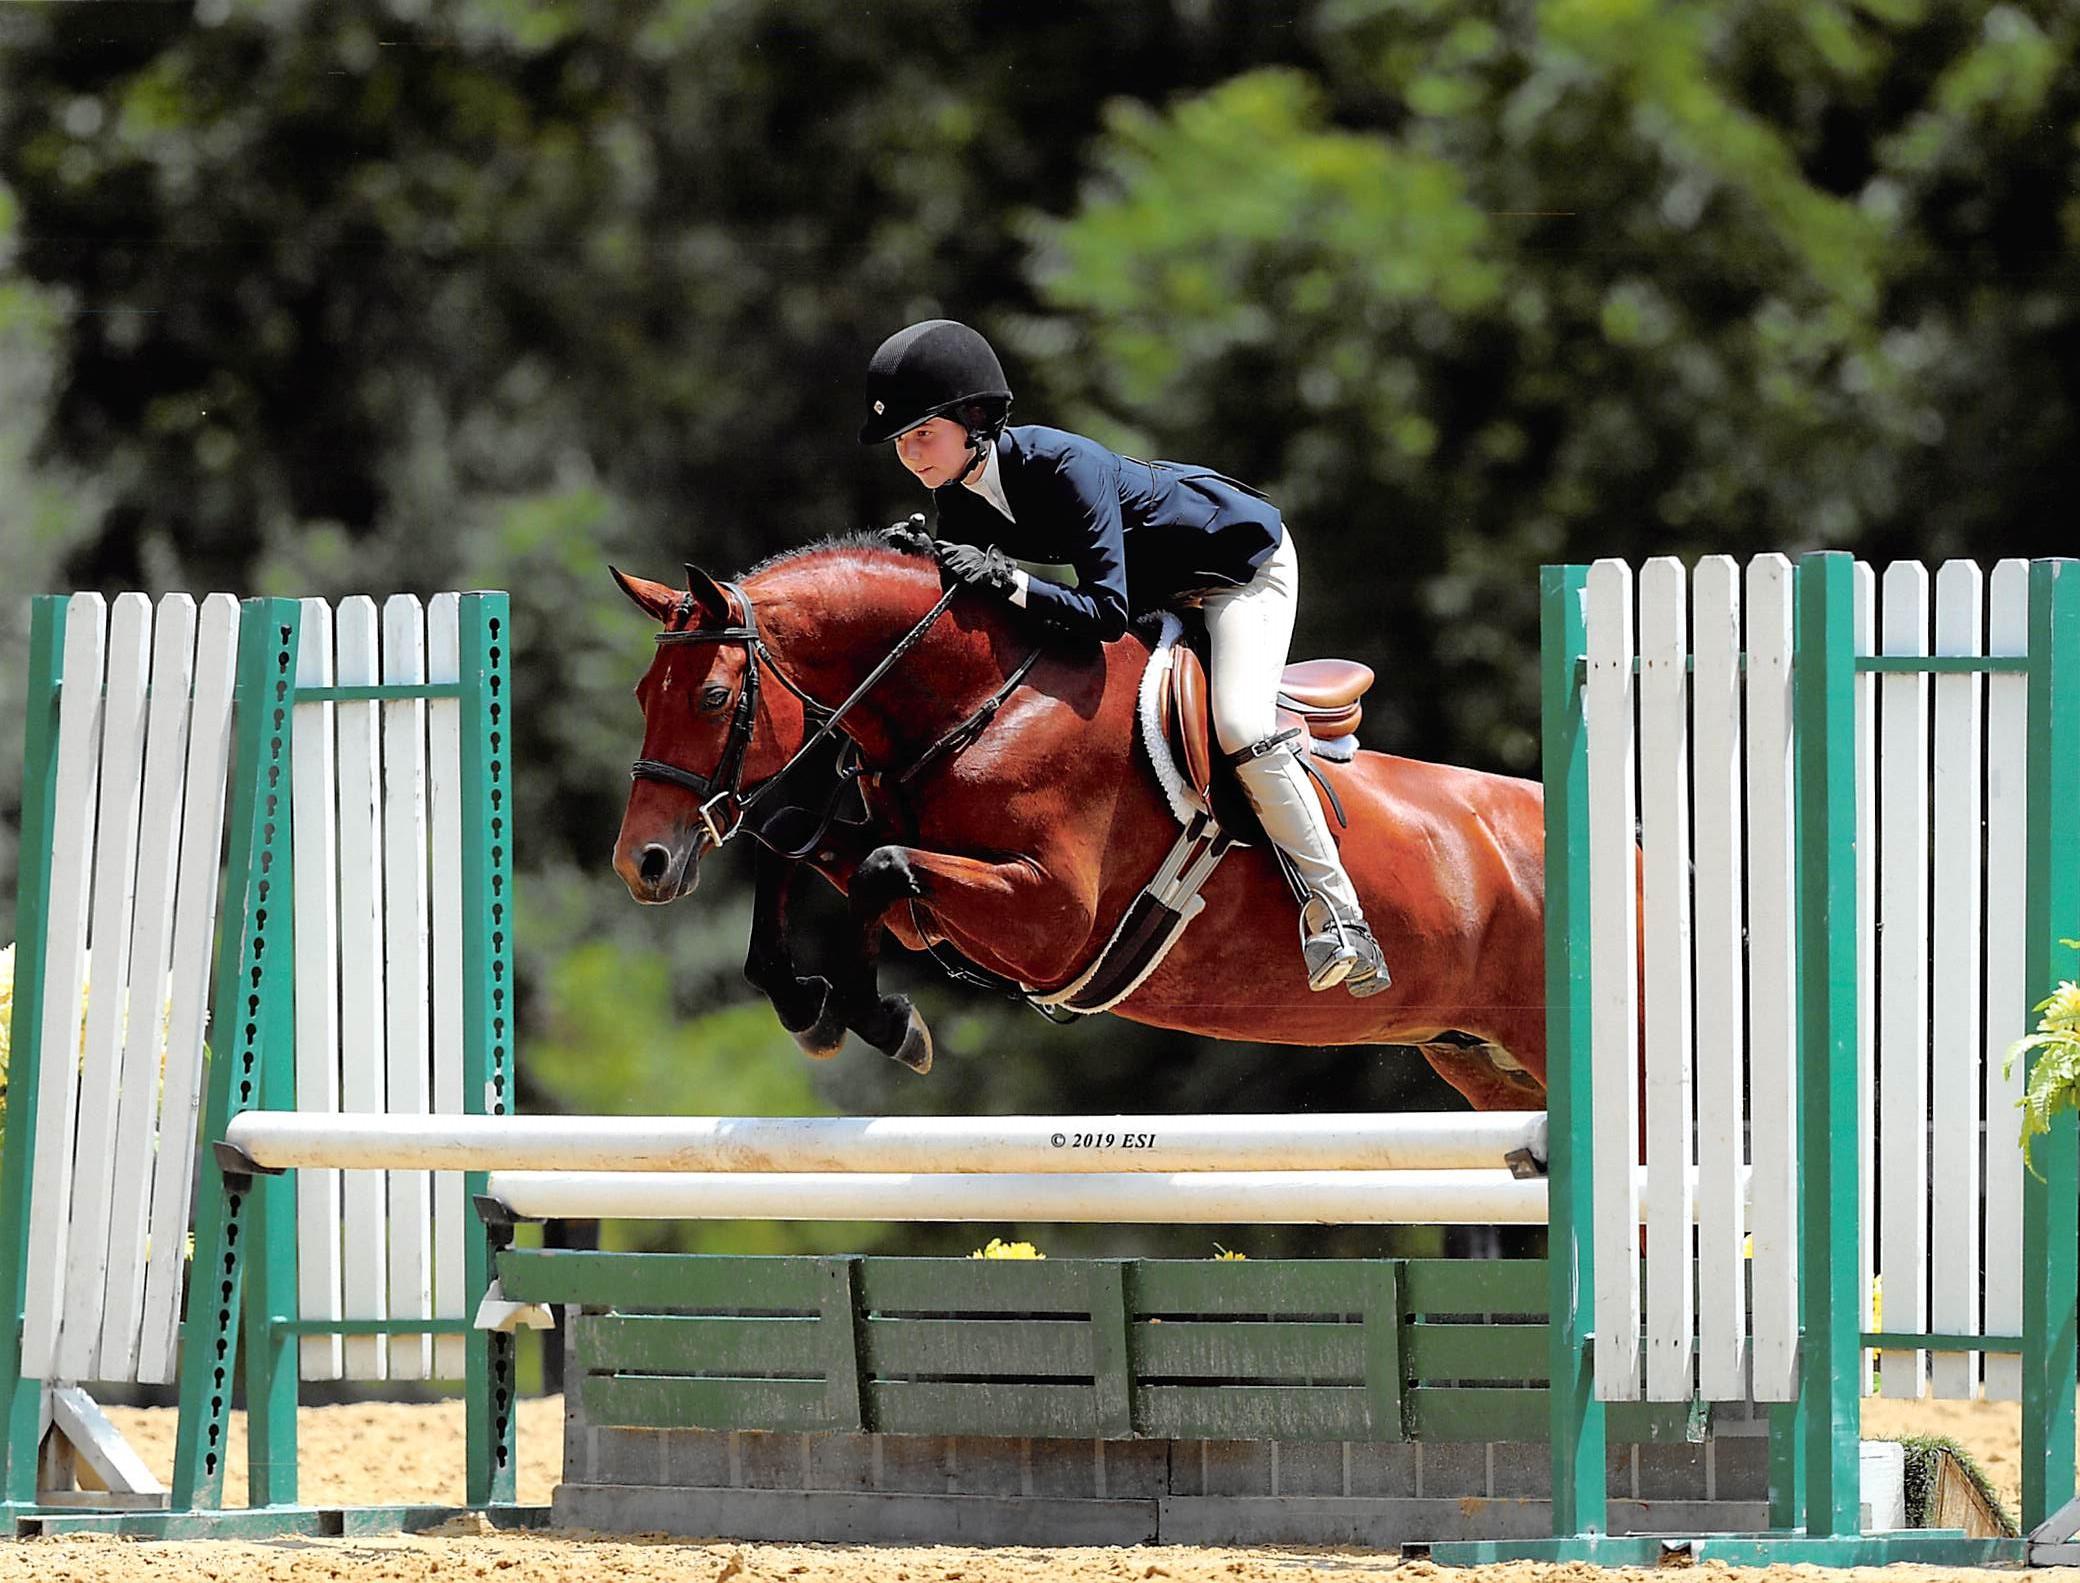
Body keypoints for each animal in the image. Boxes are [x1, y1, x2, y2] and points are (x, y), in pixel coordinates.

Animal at [610, 537, 1550, 1111]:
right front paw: (808, 1006)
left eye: (713, 698)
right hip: (1480, 1058)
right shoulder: (933, 899)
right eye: (642, 696)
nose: (641, 863)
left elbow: (878, 867)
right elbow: (794, 838)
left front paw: (885, 1022)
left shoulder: (1049, 918)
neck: (984, 701)